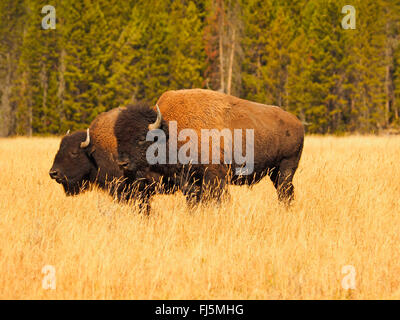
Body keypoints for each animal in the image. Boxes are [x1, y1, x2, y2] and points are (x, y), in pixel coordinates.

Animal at [112, 89, 304, 211]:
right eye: (118, 138)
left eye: (141, 138)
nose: (122, 163)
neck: (170, 130)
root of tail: (297, 122)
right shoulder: (187, 178)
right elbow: (194, 198)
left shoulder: (214, 175)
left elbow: (216, 198)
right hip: (275, 172)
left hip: (285, 168)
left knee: (285, 192)